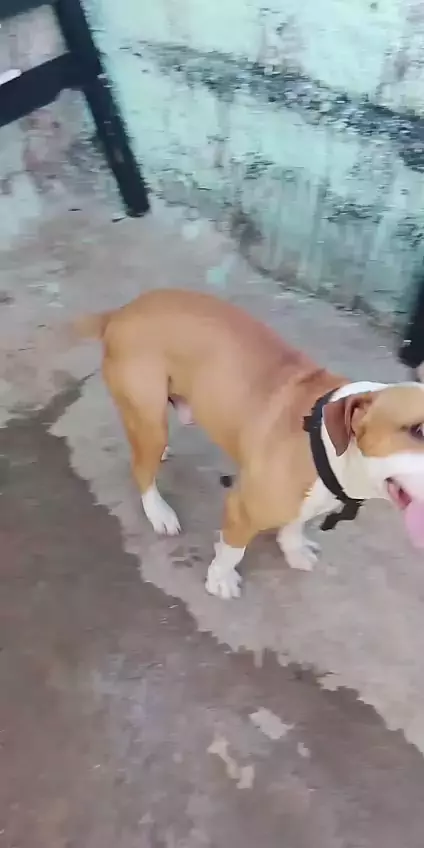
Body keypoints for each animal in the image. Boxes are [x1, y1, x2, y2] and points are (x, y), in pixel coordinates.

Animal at [74, 288, 424, 599]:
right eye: (417, 429)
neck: (329, 442)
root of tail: (121, 312)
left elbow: (296, 522)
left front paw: (293, 547)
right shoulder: (242, 508)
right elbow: (233, 549)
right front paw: (220, 579)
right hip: (149, 417)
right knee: (141, 468)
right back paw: (159, 511)